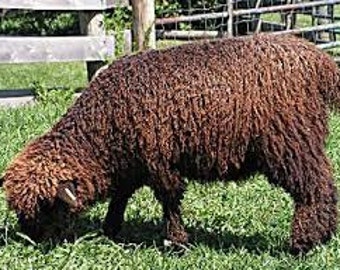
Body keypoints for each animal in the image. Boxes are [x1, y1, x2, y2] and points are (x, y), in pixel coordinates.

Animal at [0, 33, 340, 253]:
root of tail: (318, 60)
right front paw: (110, 230)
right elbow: (121, 196)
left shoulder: (158, 159)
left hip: (291, 143)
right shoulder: (132, 163)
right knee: (325, 184)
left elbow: (169, 200)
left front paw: (176, 242)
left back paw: (303, 243)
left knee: (315, 187)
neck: (103, 126)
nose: (32, 240)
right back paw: (324, 236)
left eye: (46, 207)